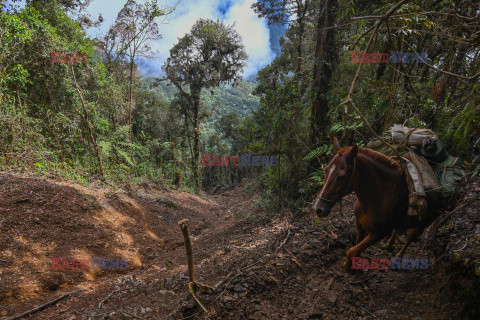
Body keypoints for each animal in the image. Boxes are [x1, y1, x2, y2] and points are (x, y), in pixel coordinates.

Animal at [314, 138, 436, 270]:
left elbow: (351, 251)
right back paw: (390, 244)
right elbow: (356, 245)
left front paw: (348, 266)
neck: (378, 197)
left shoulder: (380, 233)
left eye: (341, 176)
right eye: (326, 170)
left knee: (410, 237)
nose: (318, 208)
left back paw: (397, 258)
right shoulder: (360, 224)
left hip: (426, 221)